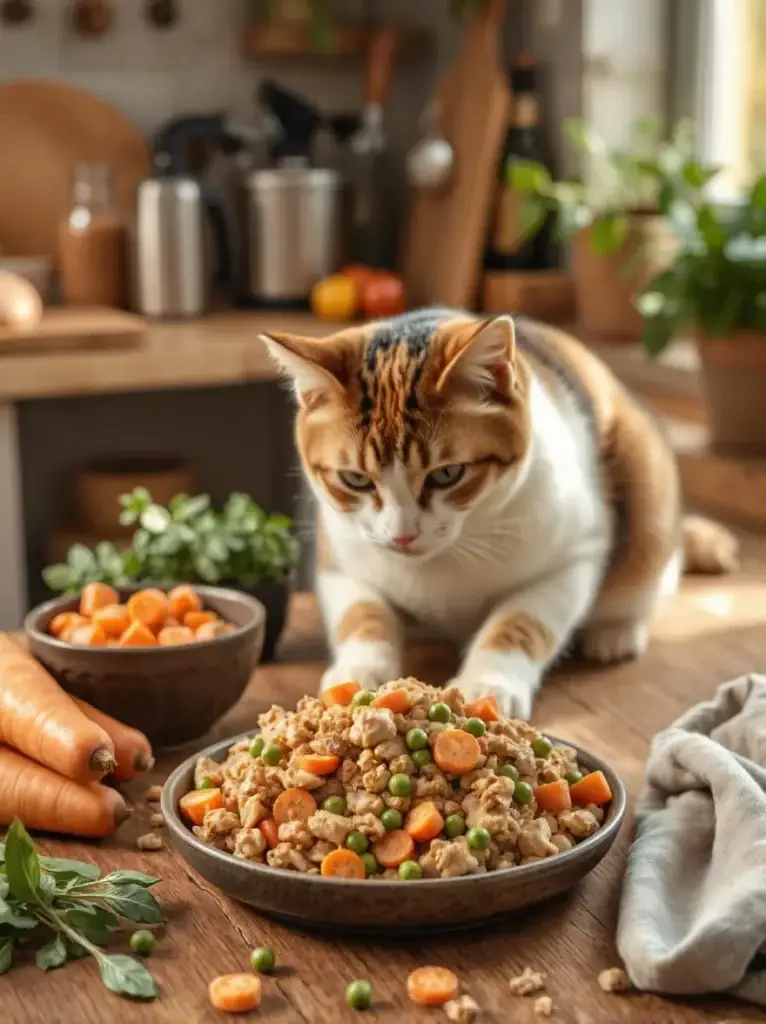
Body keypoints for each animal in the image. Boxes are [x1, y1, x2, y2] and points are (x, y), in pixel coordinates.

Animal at [262, 307, 737, 716]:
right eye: (355, 480)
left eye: (448, 473)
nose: (402, 535)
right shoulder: (340, 557)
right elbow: (362, 614)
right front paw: (359, 671)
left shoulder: (574, 556)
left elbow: (521, 622)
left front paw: (489, 682)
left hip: (646, 477)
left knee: (651, 574)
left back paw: (616, 632)